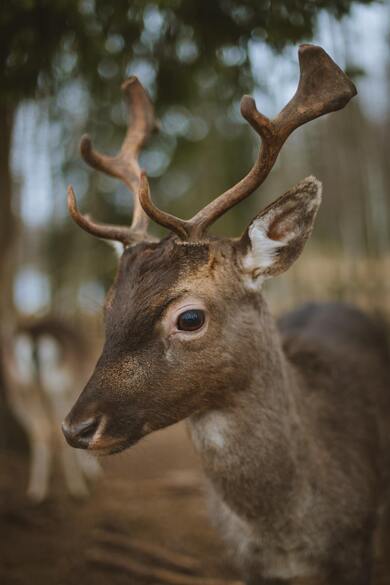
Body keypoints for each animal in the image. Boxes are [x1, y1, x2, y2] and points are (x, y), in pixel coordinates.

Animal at [2, 318, 100, 500]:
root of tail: (34, 337)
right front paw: (92, 471)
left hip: (20, 389)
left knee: (39, 429)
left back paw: (36, 490)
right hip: (57, 388)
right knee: (55, 430)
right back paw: (77, 489)